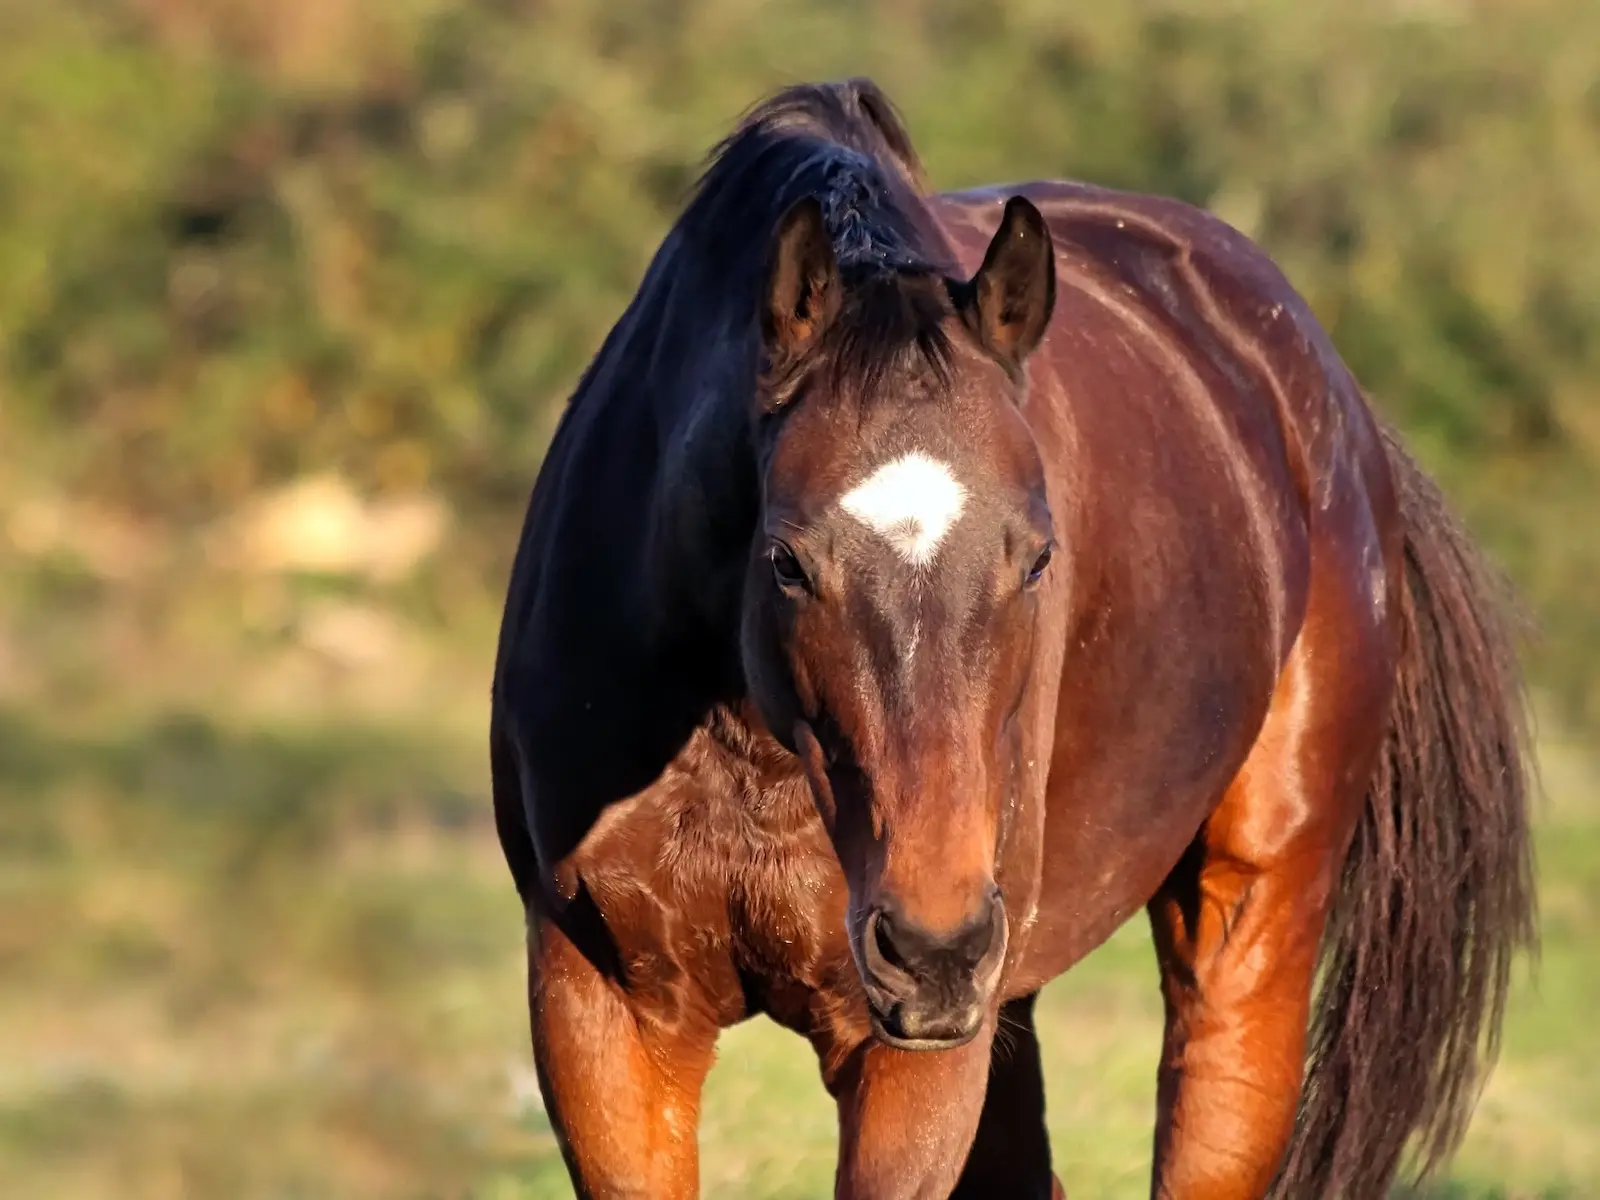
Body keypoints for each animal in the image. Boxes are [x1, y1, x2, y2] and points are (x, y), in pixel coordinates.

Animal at [486, 80, 1536, 1196]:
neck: (747, 752)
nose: (931, 946)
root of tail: (1329, 399)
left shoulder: (911, 1054)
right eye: (787, 561)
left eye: (1037, 558)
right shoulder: (603, 1011)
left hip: (1242, 928)